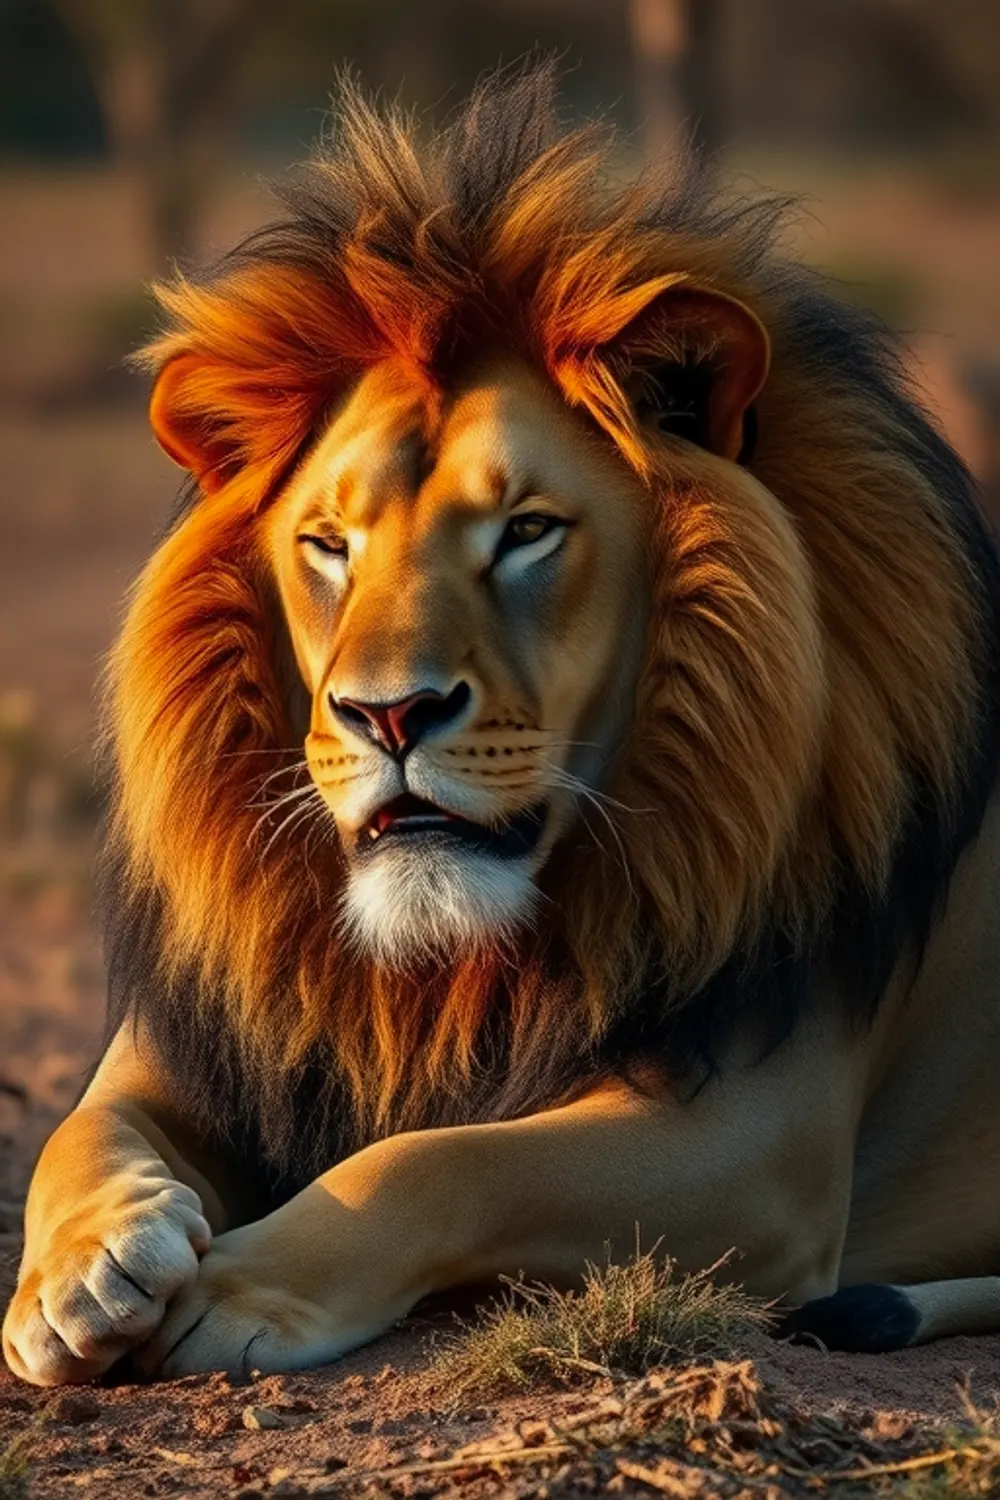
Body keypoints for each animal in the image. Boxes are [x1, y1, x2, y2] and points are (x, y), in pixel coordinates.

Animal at [4, 65, 1000, 1388]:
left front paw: (240, 1285)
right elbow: (76, 1132)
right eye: (329, 544)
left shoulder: (762, 1141)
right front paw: (83, 1271)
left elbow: (440, 1159)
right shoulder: (206, 1034)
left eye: (526, 531)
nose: (389, 713)